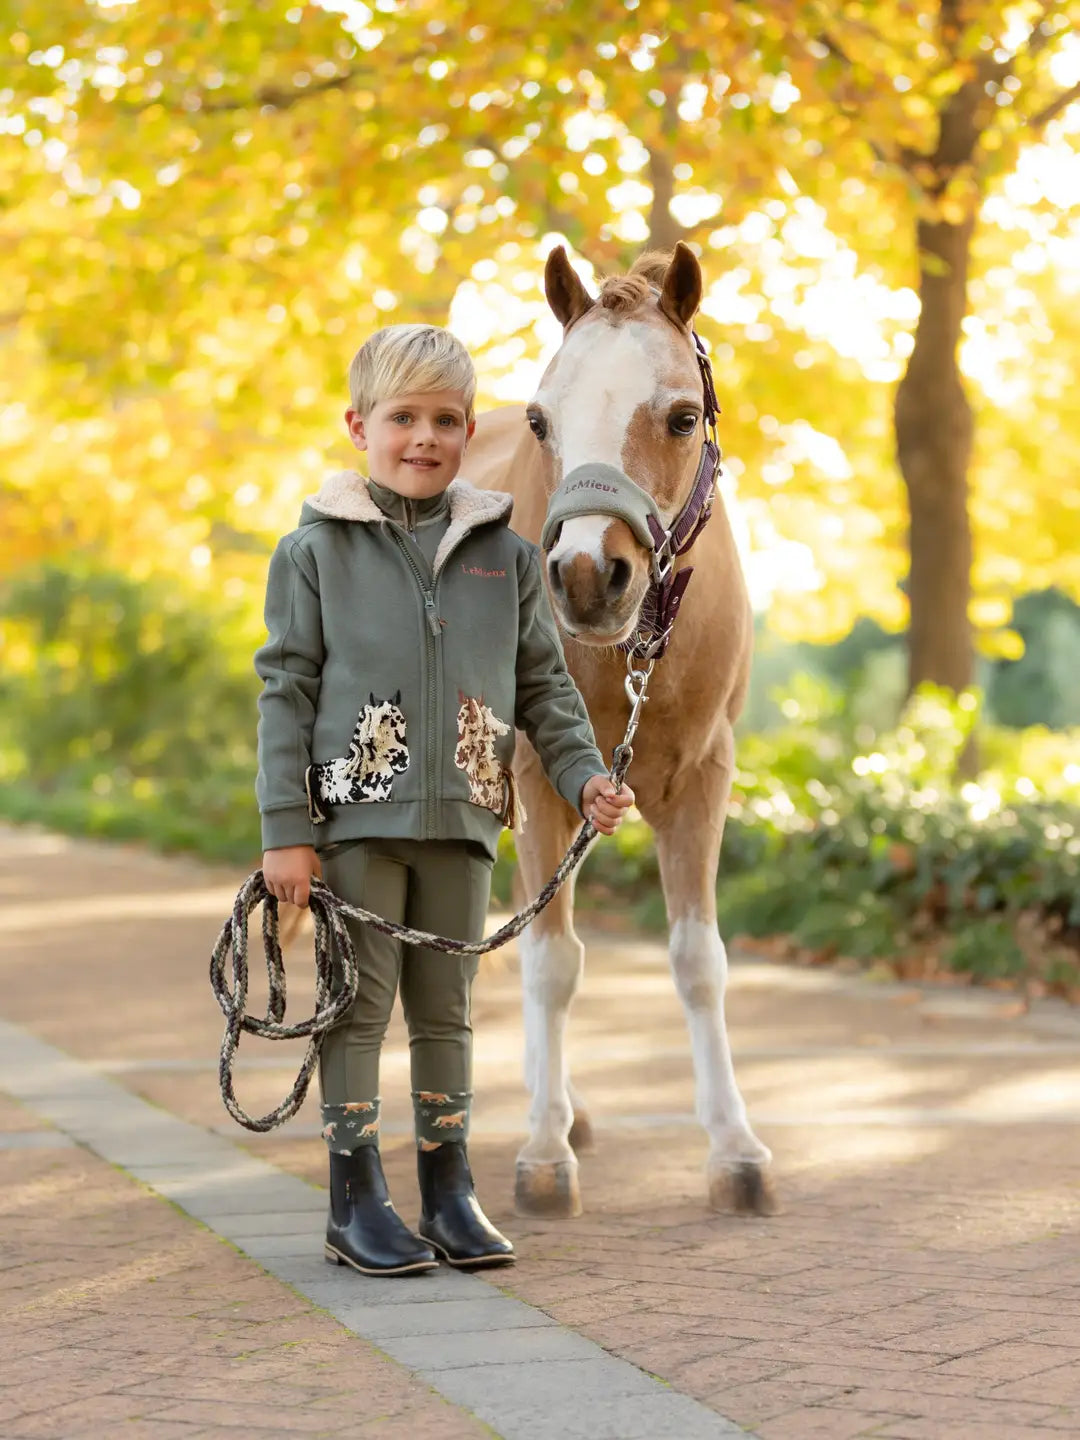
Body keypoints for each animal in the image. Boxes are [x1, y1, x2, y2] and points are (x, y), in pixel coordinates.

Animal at [464, 242, 776, 1219]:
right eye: (541, 420)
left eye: (682, 417)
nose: (583, 575)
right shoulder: (534, 776)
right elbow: (552, 963)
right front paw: (541, 1155)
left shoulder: (703, 779)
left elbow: (698, 960)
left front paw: (735, 1150)